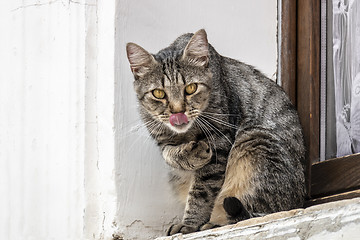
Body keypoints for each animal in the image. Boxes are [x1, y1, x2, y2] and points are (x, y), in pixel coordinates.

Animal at [125, 28, 306, 234]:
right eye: (158, 93)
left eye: (191, 88)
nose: (178, 111)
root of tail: (300, 198)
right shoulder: (162, 140)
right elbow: (169, 154)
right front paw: (192, 154)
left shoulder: (220, 143)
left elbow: (201, 192)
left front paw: (190, 224)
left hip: (255, 143)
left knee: (260, 211)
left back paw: (216, 223)